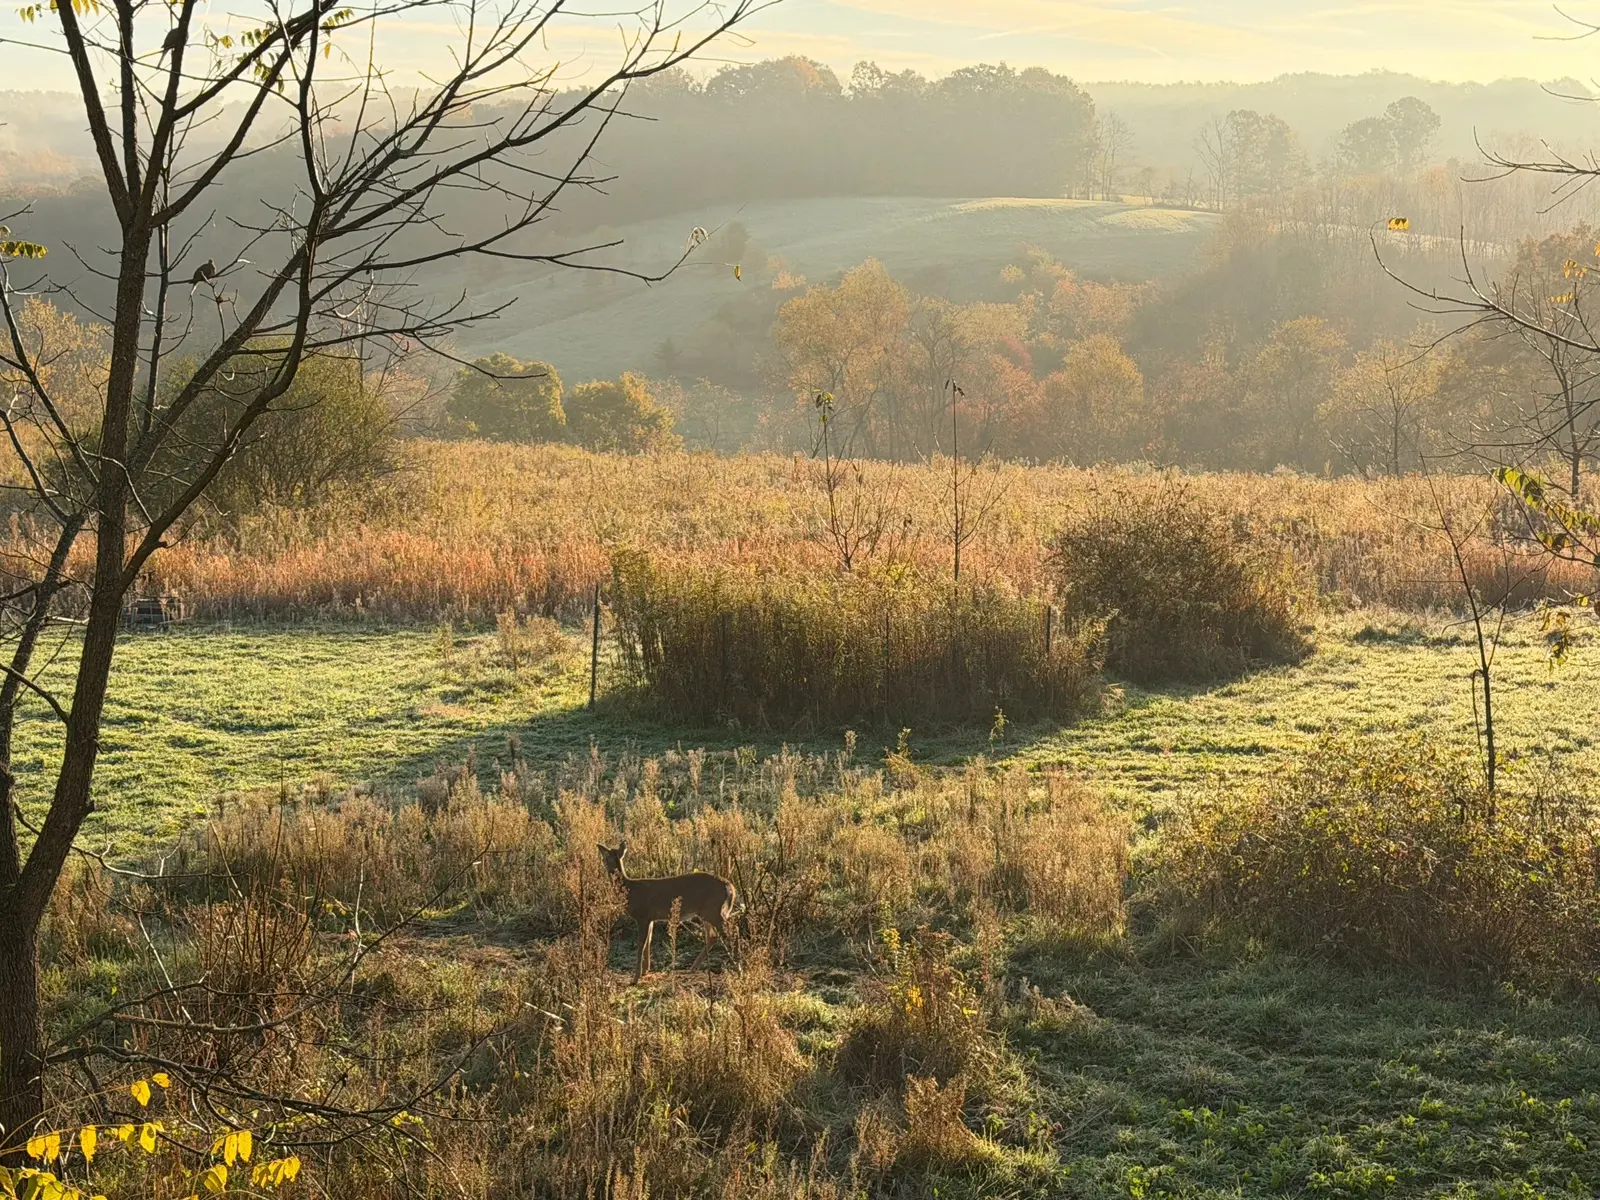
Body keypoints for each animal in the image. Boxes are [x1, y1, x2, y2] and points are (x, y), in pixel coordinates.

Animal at [597, 842, 738, 983]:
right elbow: (648, 941)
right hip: (707, 912)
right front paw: (645, 971)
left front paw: (635, 978)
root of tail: (729, 886)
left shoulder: (642, 915)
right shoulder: (650, 919)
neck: (629, 890)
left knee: (731, 931)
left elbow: (641, 944)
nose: (599, 847)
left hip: (713, 910)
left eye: (605, 856)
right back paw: (693, 967)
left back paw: (738, 965)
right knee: (714, 936)